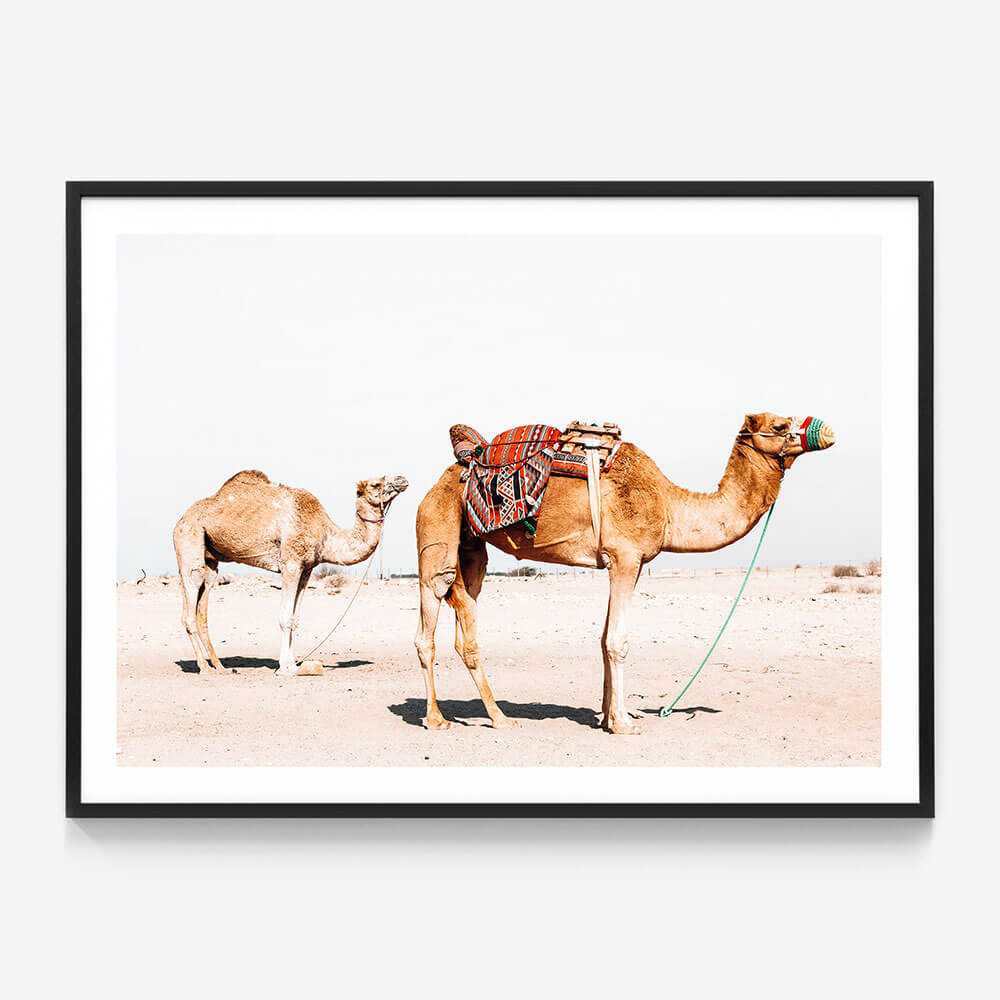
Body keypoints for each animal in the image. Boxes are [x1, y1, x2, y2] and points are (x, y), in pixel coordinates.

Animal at [174, 471, 408, 675]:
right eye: (375, 484)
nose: (402, 479)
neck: (325, 533)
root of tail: (180, 521)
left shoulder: (307, 568)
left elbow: (295, 619)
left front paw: (294, 664)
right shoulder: (290, 563)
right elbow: (285, 617)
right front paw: (285, 669)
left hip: (211, 560)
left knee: (203, 606)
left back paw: (220, 667)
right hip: (189, 542)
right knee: (190, 602)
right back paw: (204, 667)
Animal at [414, 413, 834, 734]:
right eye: (780, 425)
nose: (827, 430)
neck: (668, 504)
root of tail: (437, 483)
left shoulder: (628, 563)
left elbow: (603, 639)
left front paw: (606, 715)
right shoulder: (626, 556)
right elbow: (618, 641)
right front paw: (623, 723)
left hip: (471, 548)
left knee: (465, 617)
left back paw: (497, 716)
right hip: (436, 525)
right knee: (429, 618)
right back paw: (438, 719)